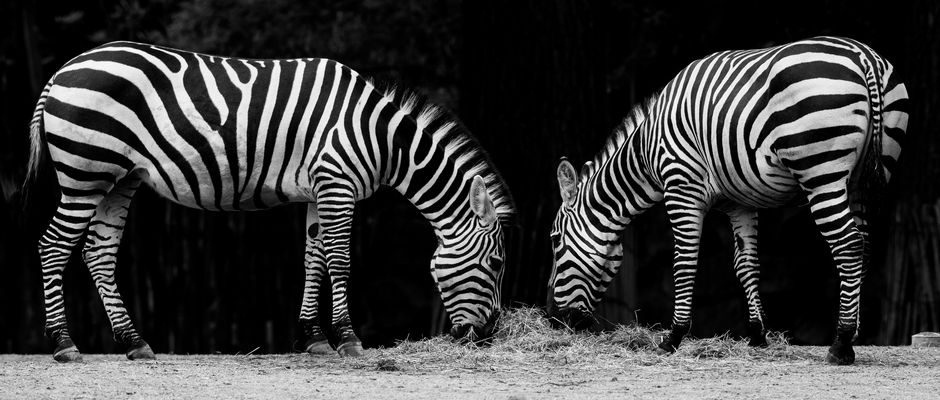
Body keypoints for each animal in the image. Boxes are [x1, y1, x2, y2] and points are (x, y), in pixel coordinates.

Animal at [25, 41, 515, 362]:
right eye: (495, 264)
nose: (489, 336)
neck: (380, 137)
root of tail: (62, 71)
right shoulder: (337, 183)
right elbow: (340, 261)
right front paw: (348, 339)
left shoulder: (321, 189)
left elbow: (314, 260)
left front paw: (314, 338)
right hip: (85, 174)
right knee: (52, 247)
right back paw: (65, 345)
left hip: (119, 179)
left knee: (98, 253)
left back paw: (134, 343)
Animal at [546, 36, 909, 365]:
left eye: (555, 240)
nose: (551, 318)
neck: (646, 152)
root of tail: (863, 57)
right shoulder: (741, 202)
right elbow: (746, 264)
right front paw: (758, 335)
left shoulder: (681, 188)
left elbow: (684, 262)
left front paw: (673, 337)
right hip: (864, 178)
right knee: (863, 245)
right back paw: (851, 334)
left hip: (820, 170)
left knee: (848, 245)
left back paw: (841, 345)